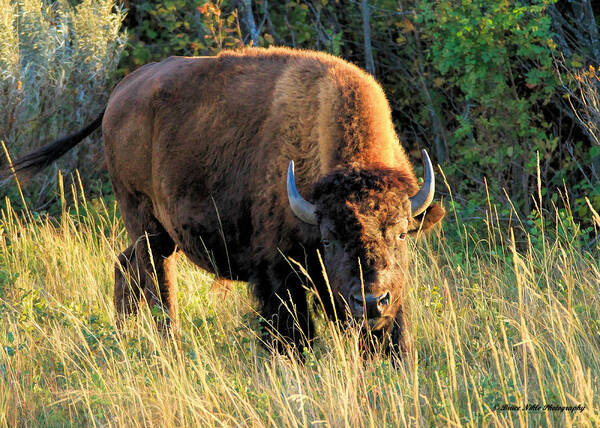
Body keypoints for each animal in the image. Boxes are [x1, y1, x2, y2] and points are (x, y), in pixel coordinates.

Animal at [7, 46, 442, 360]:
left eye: (402, 234)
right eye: (329, 239)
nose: (370, 300)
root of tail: (119, 93)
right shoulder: (276, 270)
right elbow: (291, 333)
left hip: (155, 234)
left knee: (125, 266)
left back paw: (123, 334)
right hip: (145, 222)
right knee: (157, 283)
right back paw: (169, 345)